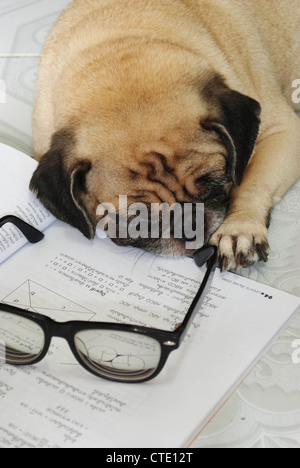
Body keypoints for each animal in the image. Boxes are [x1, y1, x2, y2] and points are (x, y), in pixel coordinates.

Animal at [30, 0, 300, 270]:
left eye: (214, 183)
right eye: (136, 219)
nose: (190, 224)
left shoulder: (281, 132)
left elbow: (251, 184)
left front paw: (239, 228)